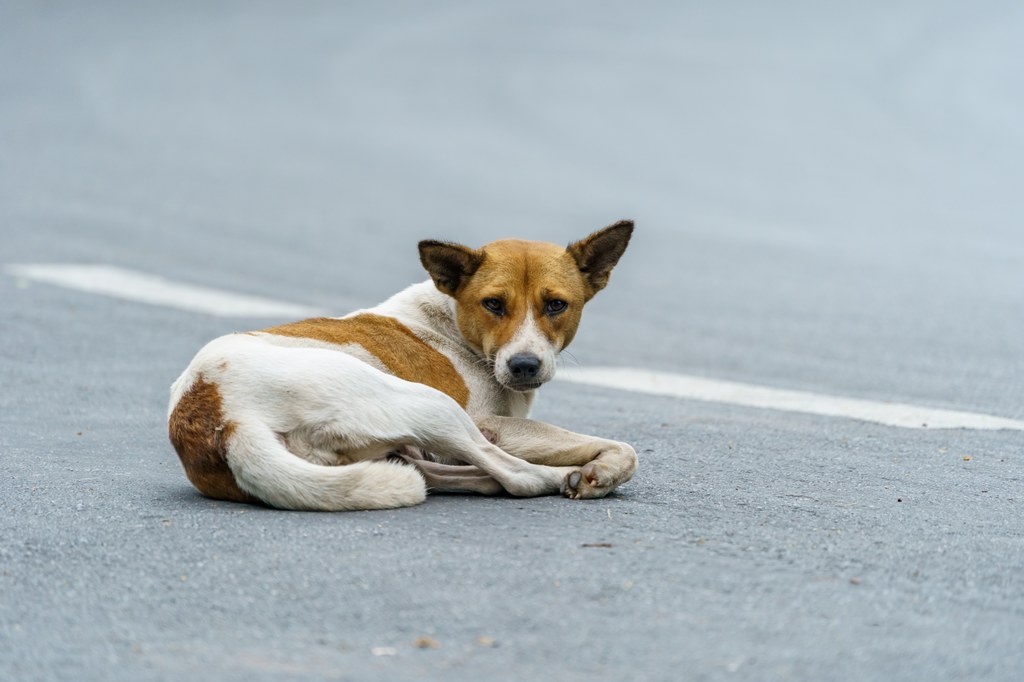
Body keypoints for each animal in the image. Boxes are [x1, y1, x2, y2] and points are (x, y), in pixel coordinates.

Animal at [168, 220, 638, 507]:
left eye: (556, 305)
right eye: (493, 304)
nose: (524, 365)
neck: (453, 322)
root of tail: (221, 417)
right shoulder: (492, 424)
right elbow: (626, 449)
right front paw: (598, 472)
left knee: (427, 467)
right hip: (430, 404)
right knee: (515, 476)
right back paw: (553, 475)